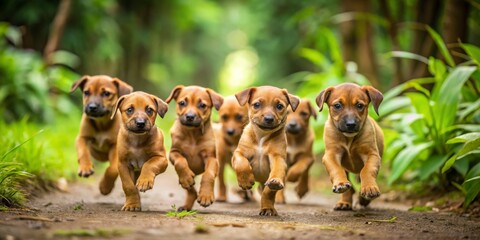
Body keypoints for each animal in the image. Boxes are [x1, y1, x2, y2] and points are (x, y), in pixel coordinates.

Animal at [232, 86, 300, 216]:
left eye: (279, 106)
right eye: (257, 104)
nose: (269, 119)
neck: (261, 137)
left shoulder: (277, 157)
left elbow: (269, 190)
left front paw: (268, 206)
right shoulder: (239, 152)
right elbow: (241, 163)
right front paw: (245, 181)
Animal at [316, 82, 386, 210]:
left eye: (359, 105)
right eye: (337, 106)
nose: (351, 124)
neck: (348, 139)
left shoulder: (372, 154)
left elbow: (367, 170)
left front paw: (369, 188)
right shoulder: (331, 155)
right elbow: (336, 169)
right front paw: (341, 184)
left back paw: (364, 199)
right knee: (350, 187)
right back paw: (344, 202)